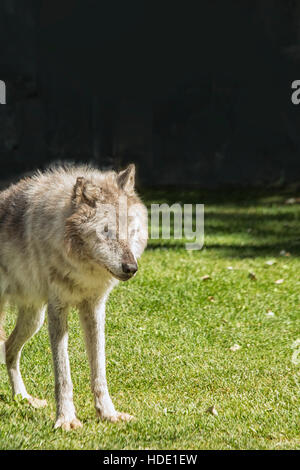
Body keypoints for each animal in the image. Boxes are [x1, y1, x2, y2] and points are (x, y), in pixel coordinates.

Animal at [0, 164, 148, 430]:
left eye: (132, 231)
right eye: (107, 232)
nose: (131, 268)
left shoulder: (94, 308)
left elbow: (99, 369)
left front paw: (108, 413)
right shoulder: (57, 309)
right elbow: (63, 374)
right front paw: (66, 419)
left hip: (33, 320)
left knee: (8, 349)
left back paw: (24, 399)